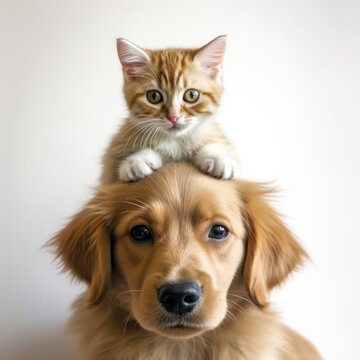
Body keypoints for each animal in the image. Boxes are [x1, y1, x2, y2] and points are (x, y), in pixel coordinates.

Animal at [101, 35, 239, 186]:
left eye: (191, 95)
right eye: (153, 96)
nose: (173, 117)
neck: (175, 143)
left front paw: (217, 157)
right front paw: (137, 160)